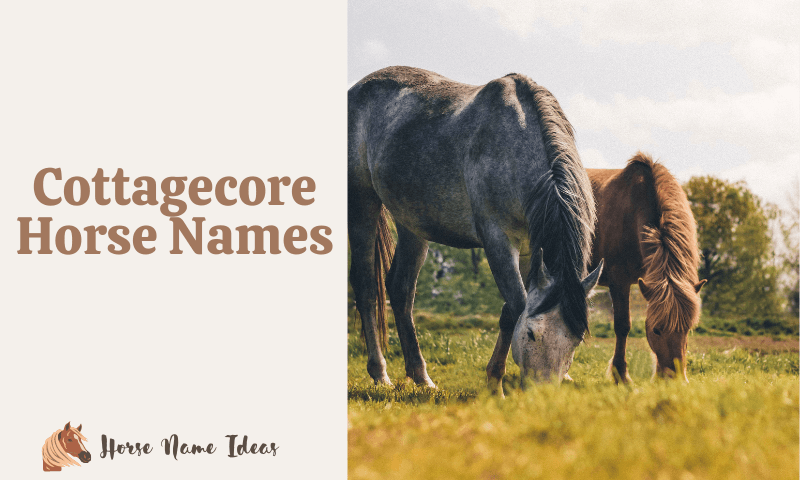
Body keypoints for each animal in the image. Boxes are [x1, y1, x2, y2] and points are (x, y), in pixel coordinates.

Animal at [348, 66, 603, 393]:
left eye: (575, 340)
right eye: (531, 334)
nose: (541, 395)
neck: (516, 145)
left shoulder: (530, 250)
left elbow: (510, 311)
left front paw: (494, 378)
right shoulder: (498, 242)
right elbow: (517, 305)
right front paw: (495, 383)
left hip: (411, 223)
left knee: (401, 290)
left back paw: (421, 377)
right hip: (361, 203)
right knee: (367, 286)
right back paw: (380, 373)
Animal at [587, 152, 706, 382]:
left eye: (687, 329)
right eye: (656, 330)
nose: (674, 379)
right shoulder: (619, 281)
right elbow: (623, 326)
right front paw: (621, 375)